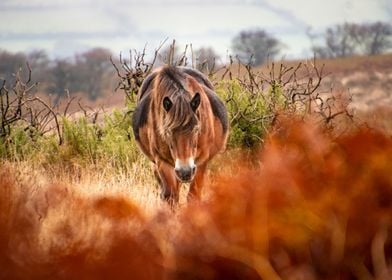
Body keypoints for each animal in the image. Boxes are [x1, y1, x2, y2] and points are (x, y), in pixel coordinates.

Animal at [133, 66, 228, 205]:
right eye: (167, 131)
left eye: (196, 129)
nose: (185, 171)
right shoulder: (162, 162)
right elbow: (171, 197)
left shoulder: (201, 161)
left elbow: (193, 195)